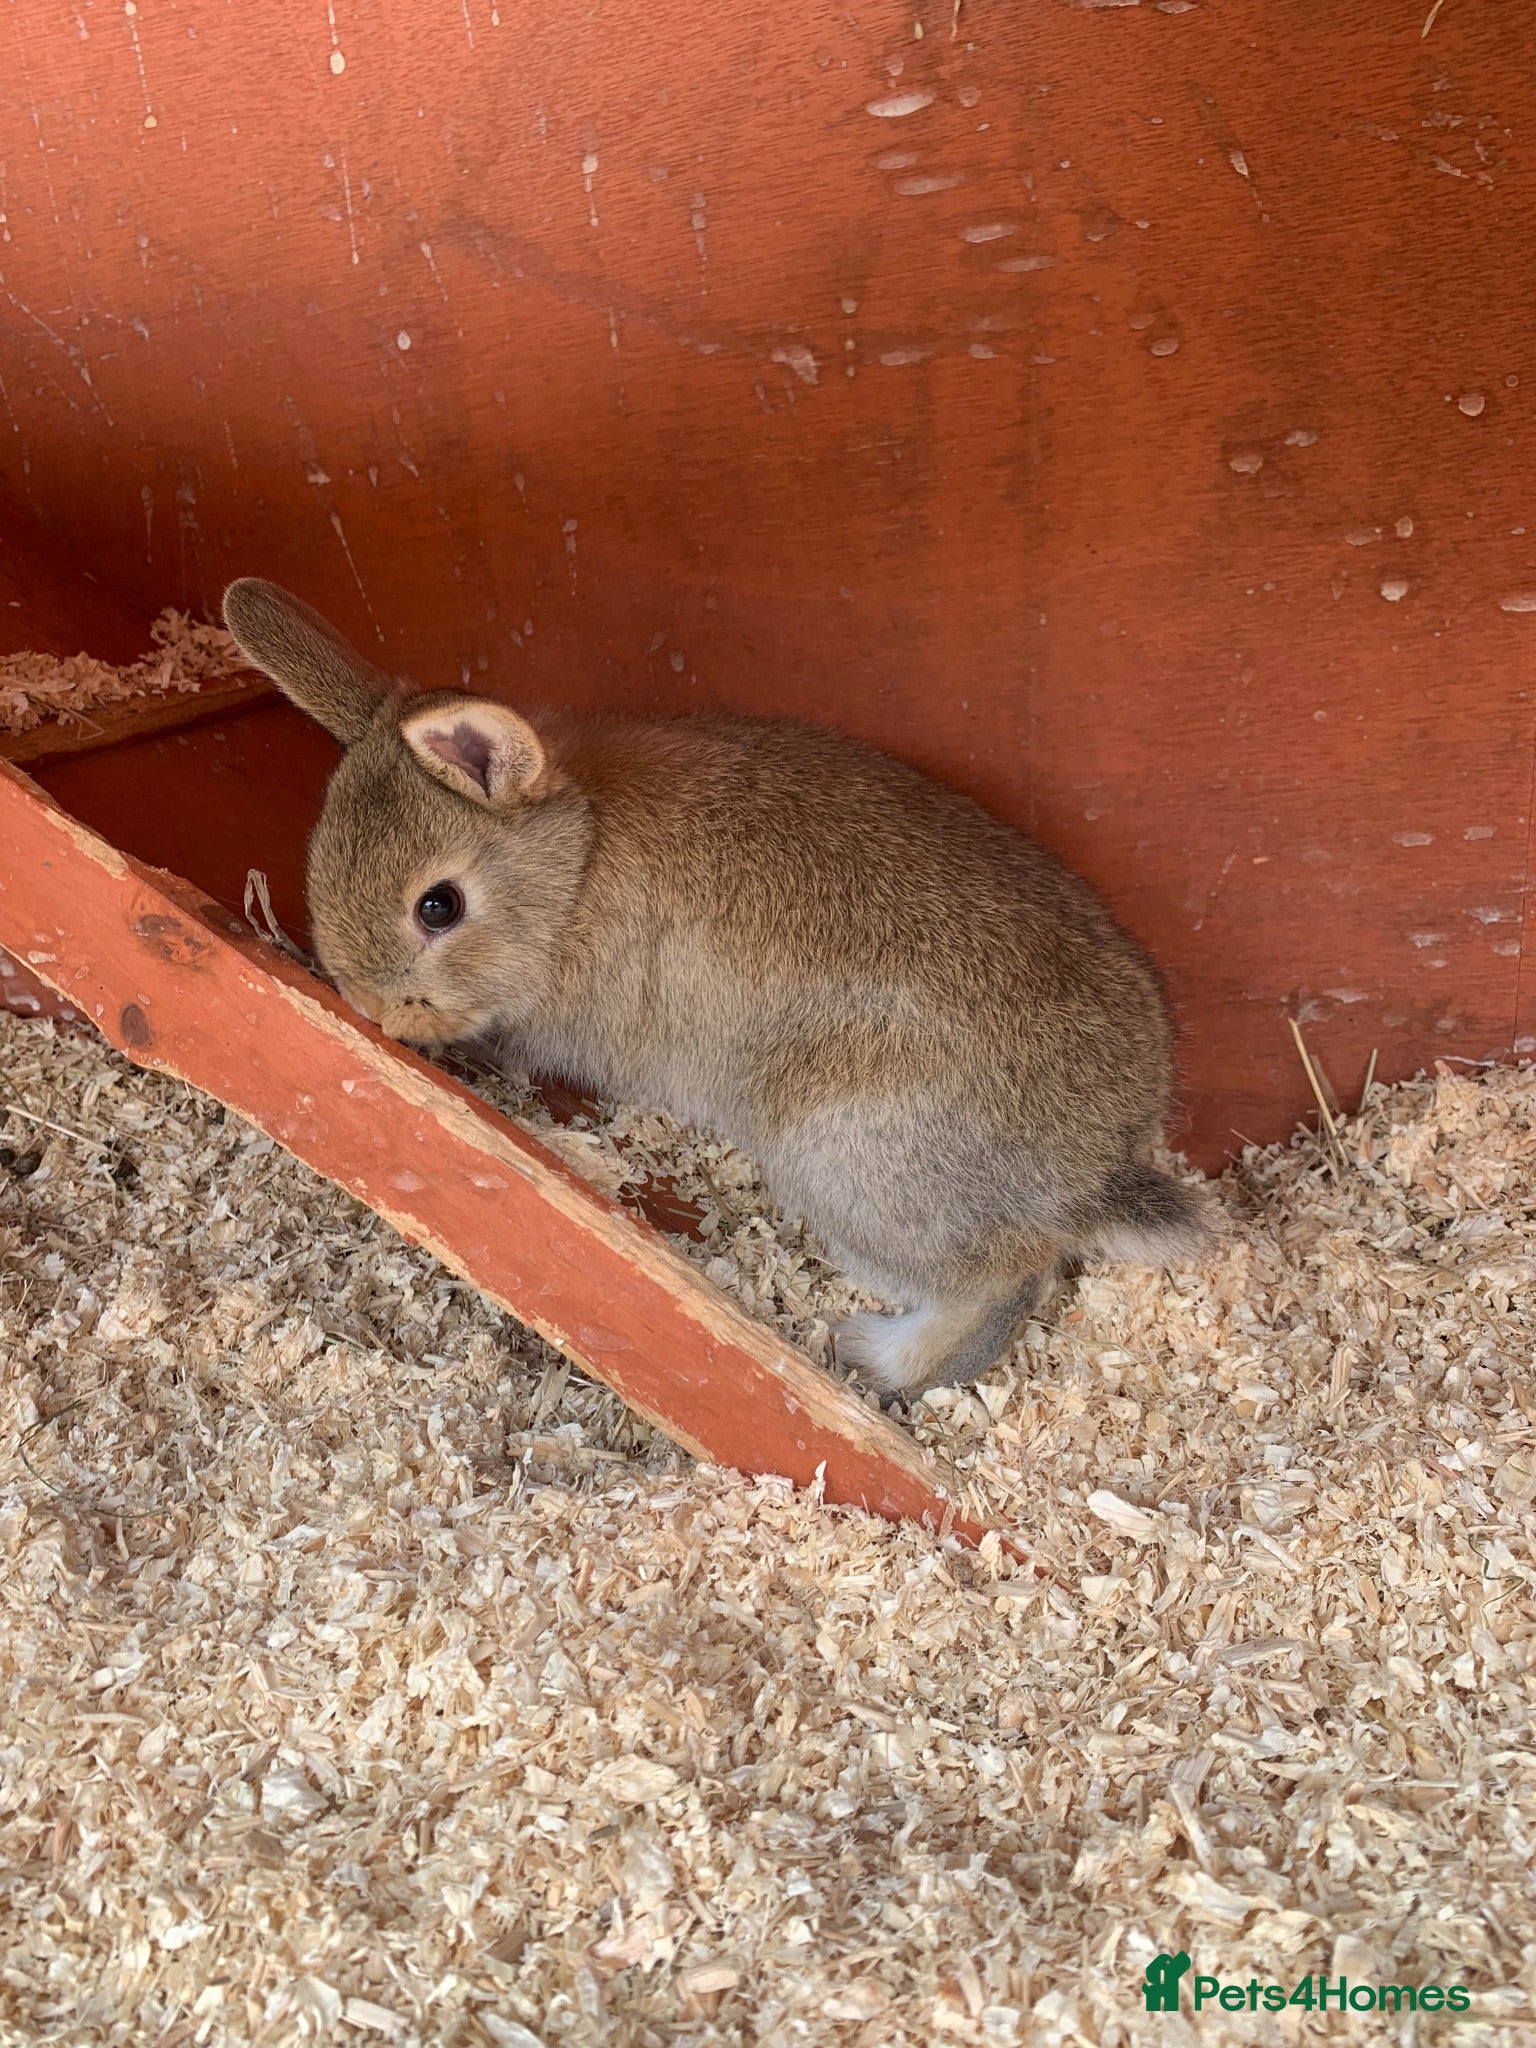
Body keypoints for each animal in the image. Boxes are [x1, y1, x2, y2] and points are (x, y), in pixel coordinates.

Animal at [223, 577, 1208, 1401]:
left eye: (439, 906)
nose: (375, 1010)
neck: (574, 867)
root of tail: (1095, 1168)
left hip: (844, 1158)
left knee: (1001, 1285)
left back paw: (877, 1358)